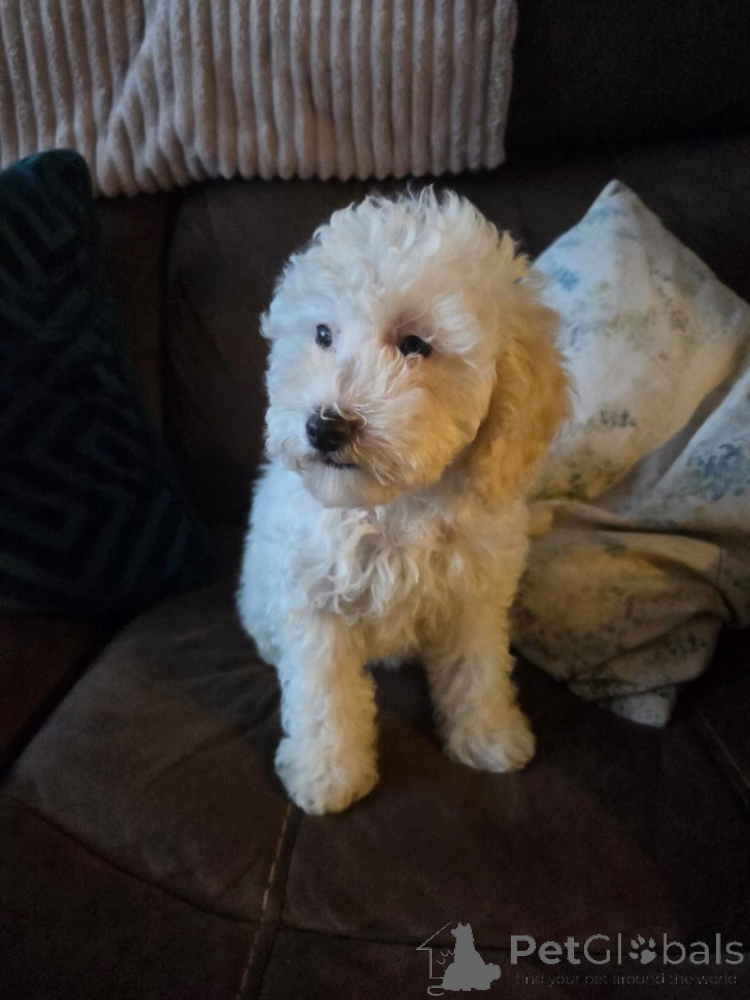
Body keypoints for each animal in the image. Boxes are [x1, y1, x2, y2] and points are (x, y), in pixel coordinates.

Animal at [237, 189, 568, 815]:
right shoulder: (313, 600)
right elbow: (324, 695)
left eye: (415, 346)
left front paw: (489, 737)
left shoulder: (473, 598)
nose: (324, 427)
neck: (392, 505)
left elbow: (477, 670)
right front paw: (328, 775)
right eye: (323, 335)